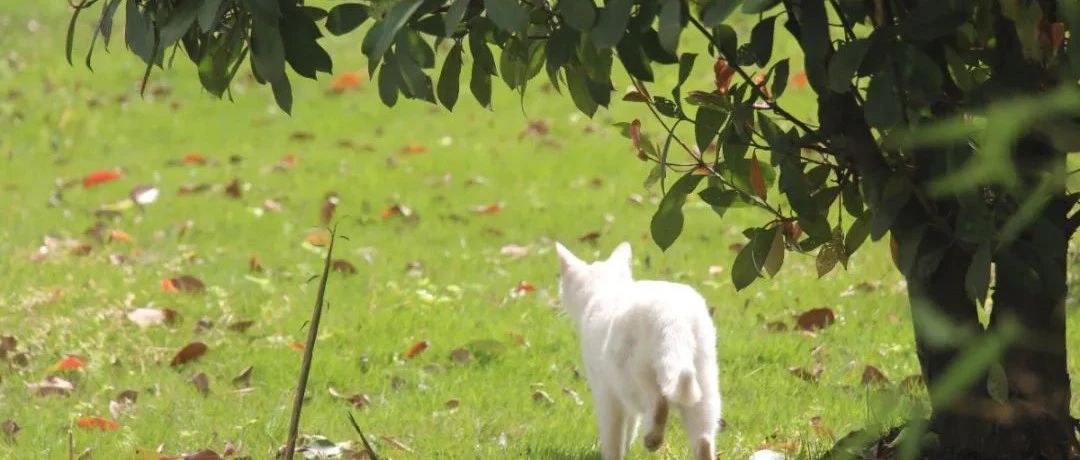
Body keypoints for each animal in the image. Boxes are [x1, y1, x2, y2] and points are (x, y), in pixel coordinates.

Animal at [557, 240, 717, 459]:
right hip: (705, 383)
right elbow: (630, 428)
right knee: (703, 439)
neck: (607, 288)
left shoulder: (606, 393)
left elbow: (613, 438)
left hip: (631, 375)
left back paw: (653, 439)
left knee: (659, 402)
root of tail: (673, 315)